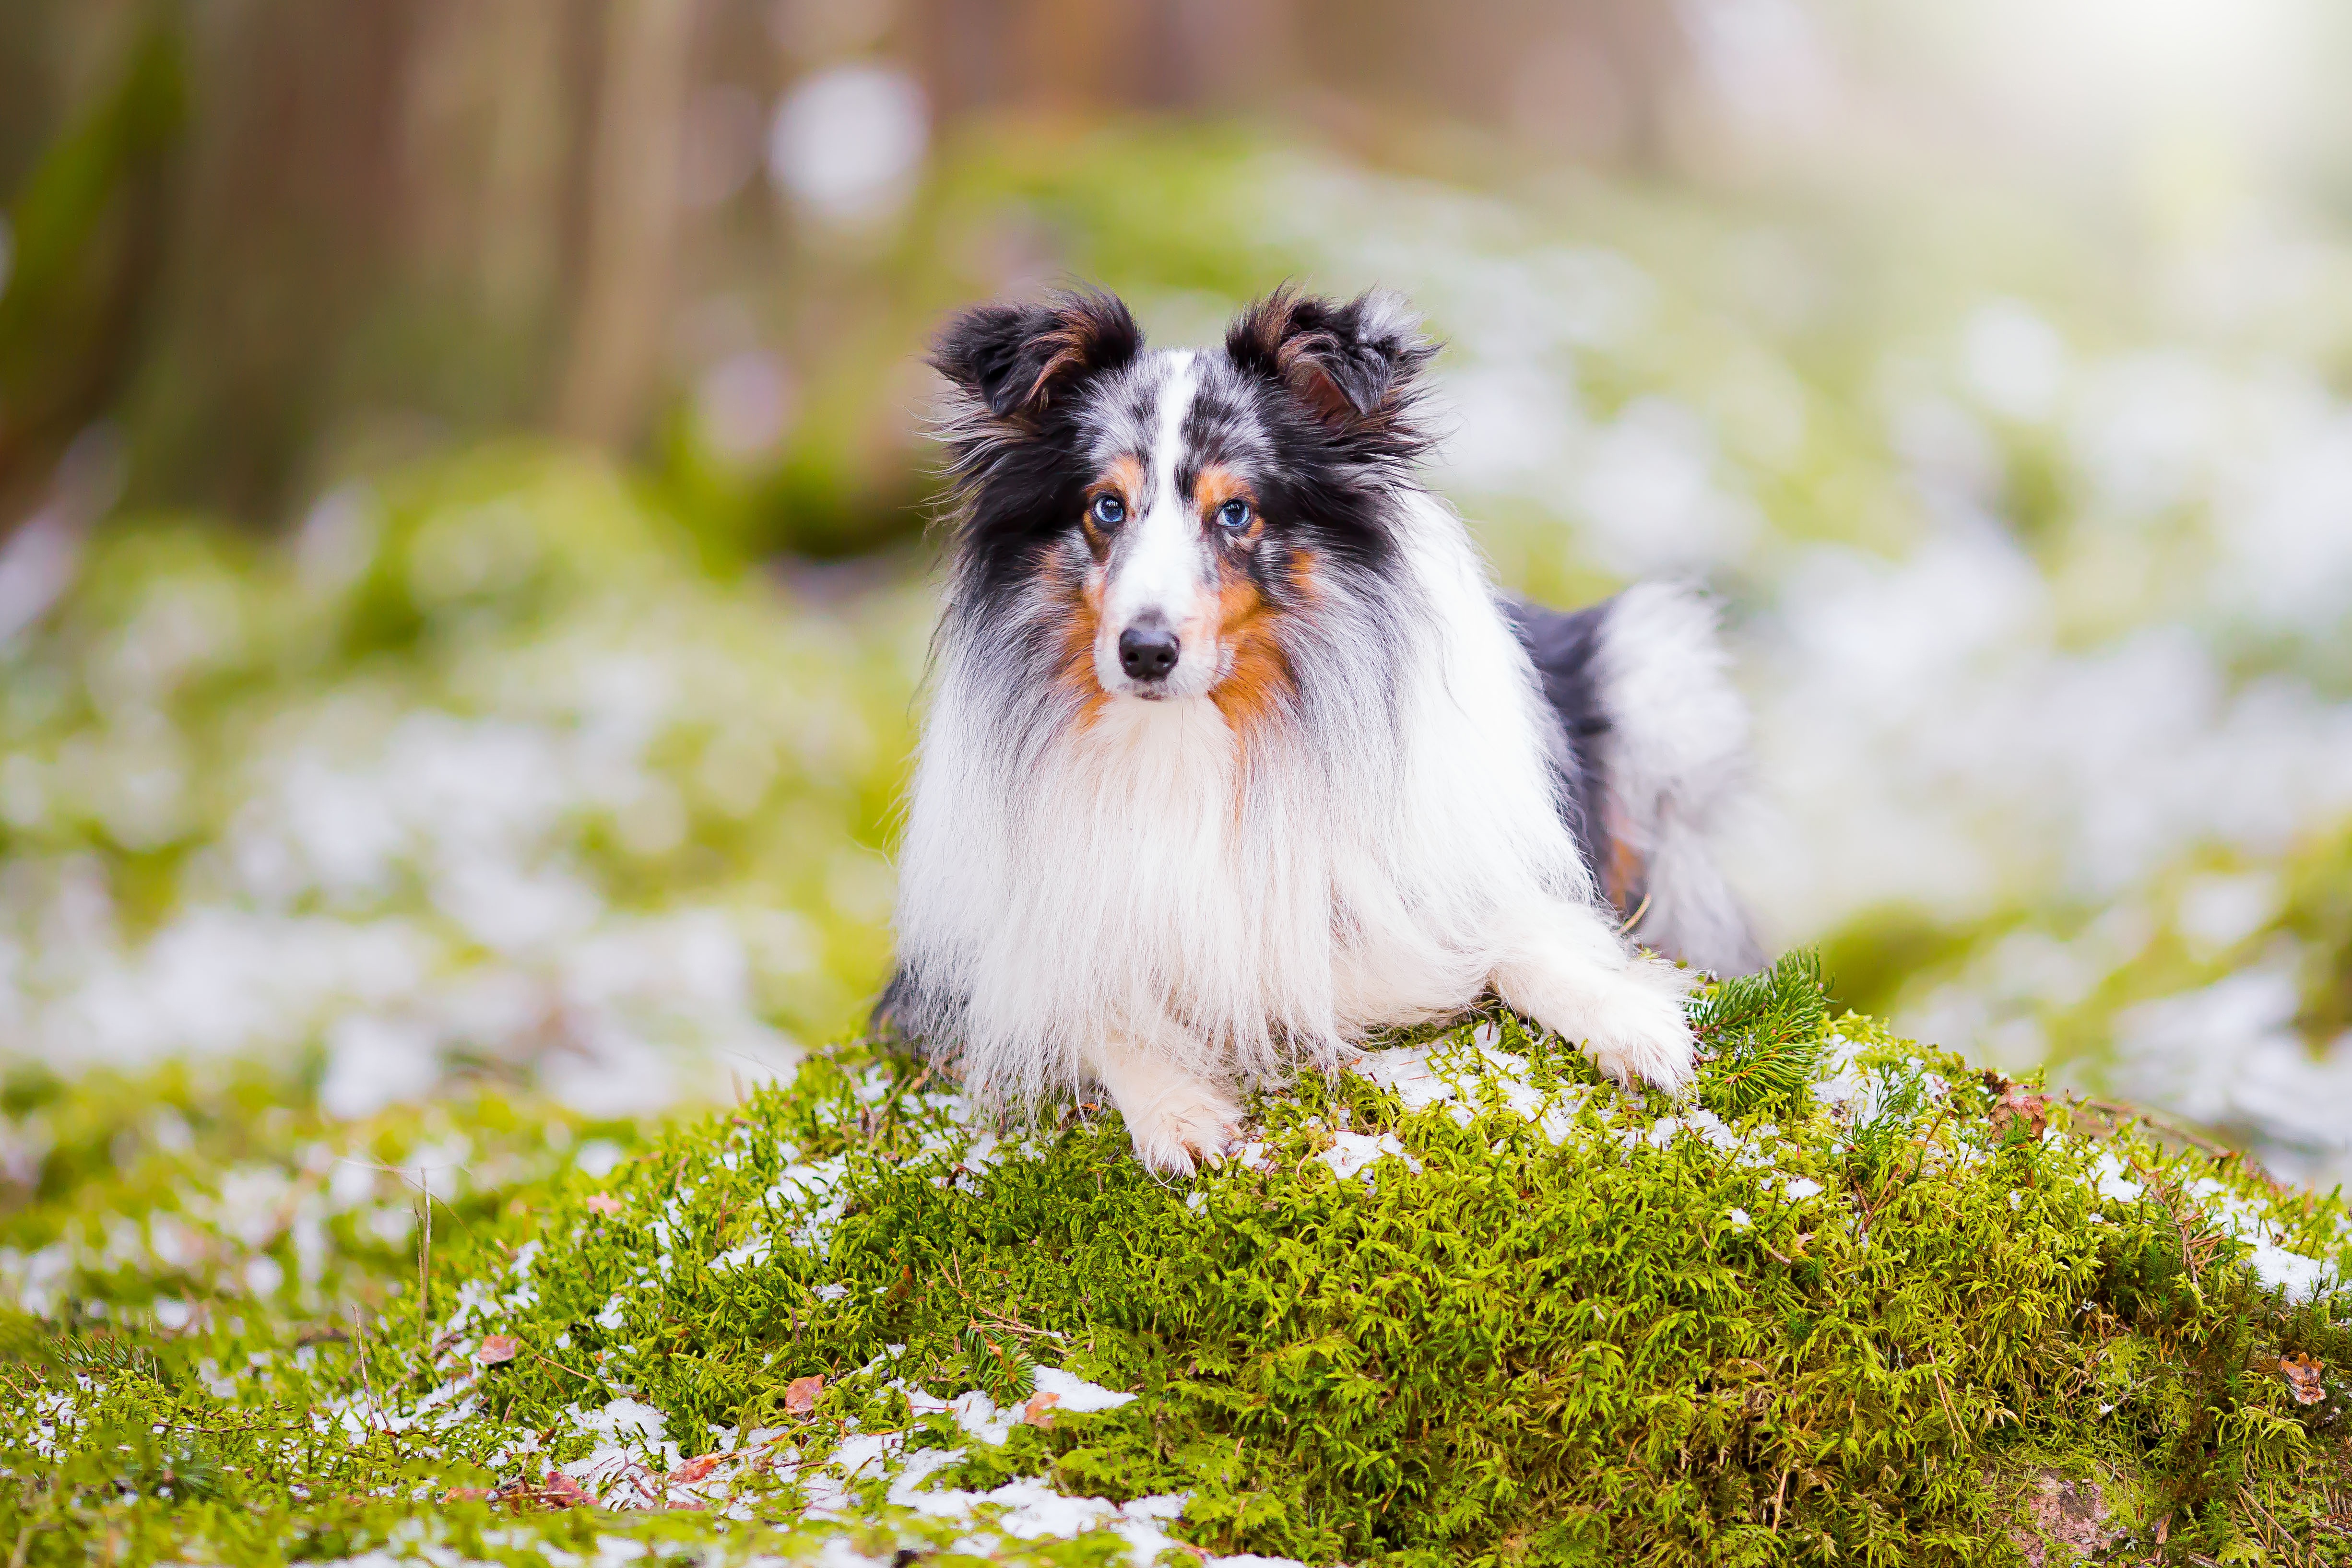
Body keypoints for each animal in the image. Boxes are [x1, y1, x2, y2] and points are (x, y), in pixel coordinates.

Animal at [884, 282, 1769, 1170]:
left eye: (1234, 512)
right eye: (1107, 506)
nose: (1144, 652)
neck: (1190, 740)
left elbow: (1518, 932)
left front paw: (1629, 1021)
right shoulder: (966, 968)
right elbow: (1085, 1004)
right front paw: (1177, 1107)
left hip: (1648, 673)